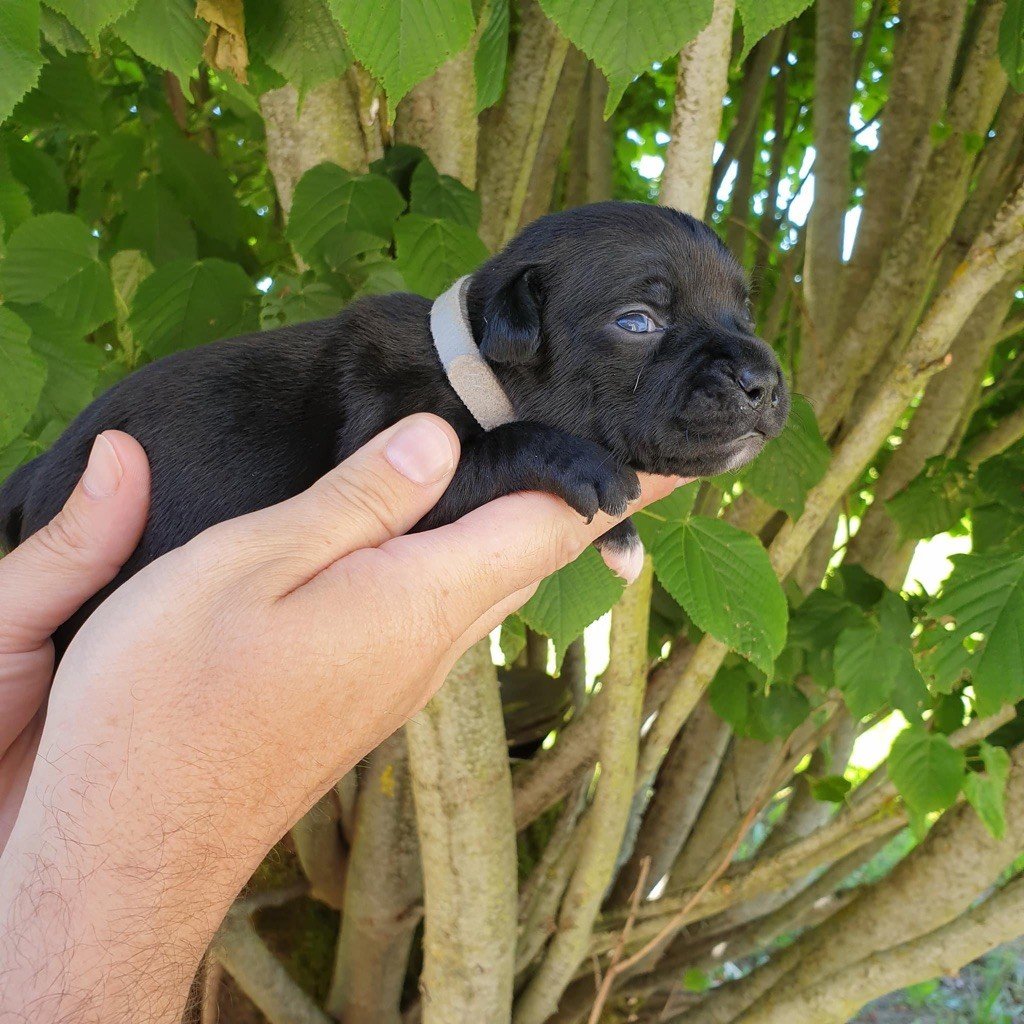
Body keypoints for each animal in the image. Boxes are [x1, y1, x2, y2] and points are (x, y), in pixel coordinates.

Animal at [0, 201, 790, 647]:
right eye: (637, 322)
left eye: (745, 312)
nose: (764, 382)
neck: (467, 360)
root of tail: (34, 476)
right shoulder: (399, 453)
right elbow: (502, 445)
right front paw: (584, 469)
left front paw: (620, 538)